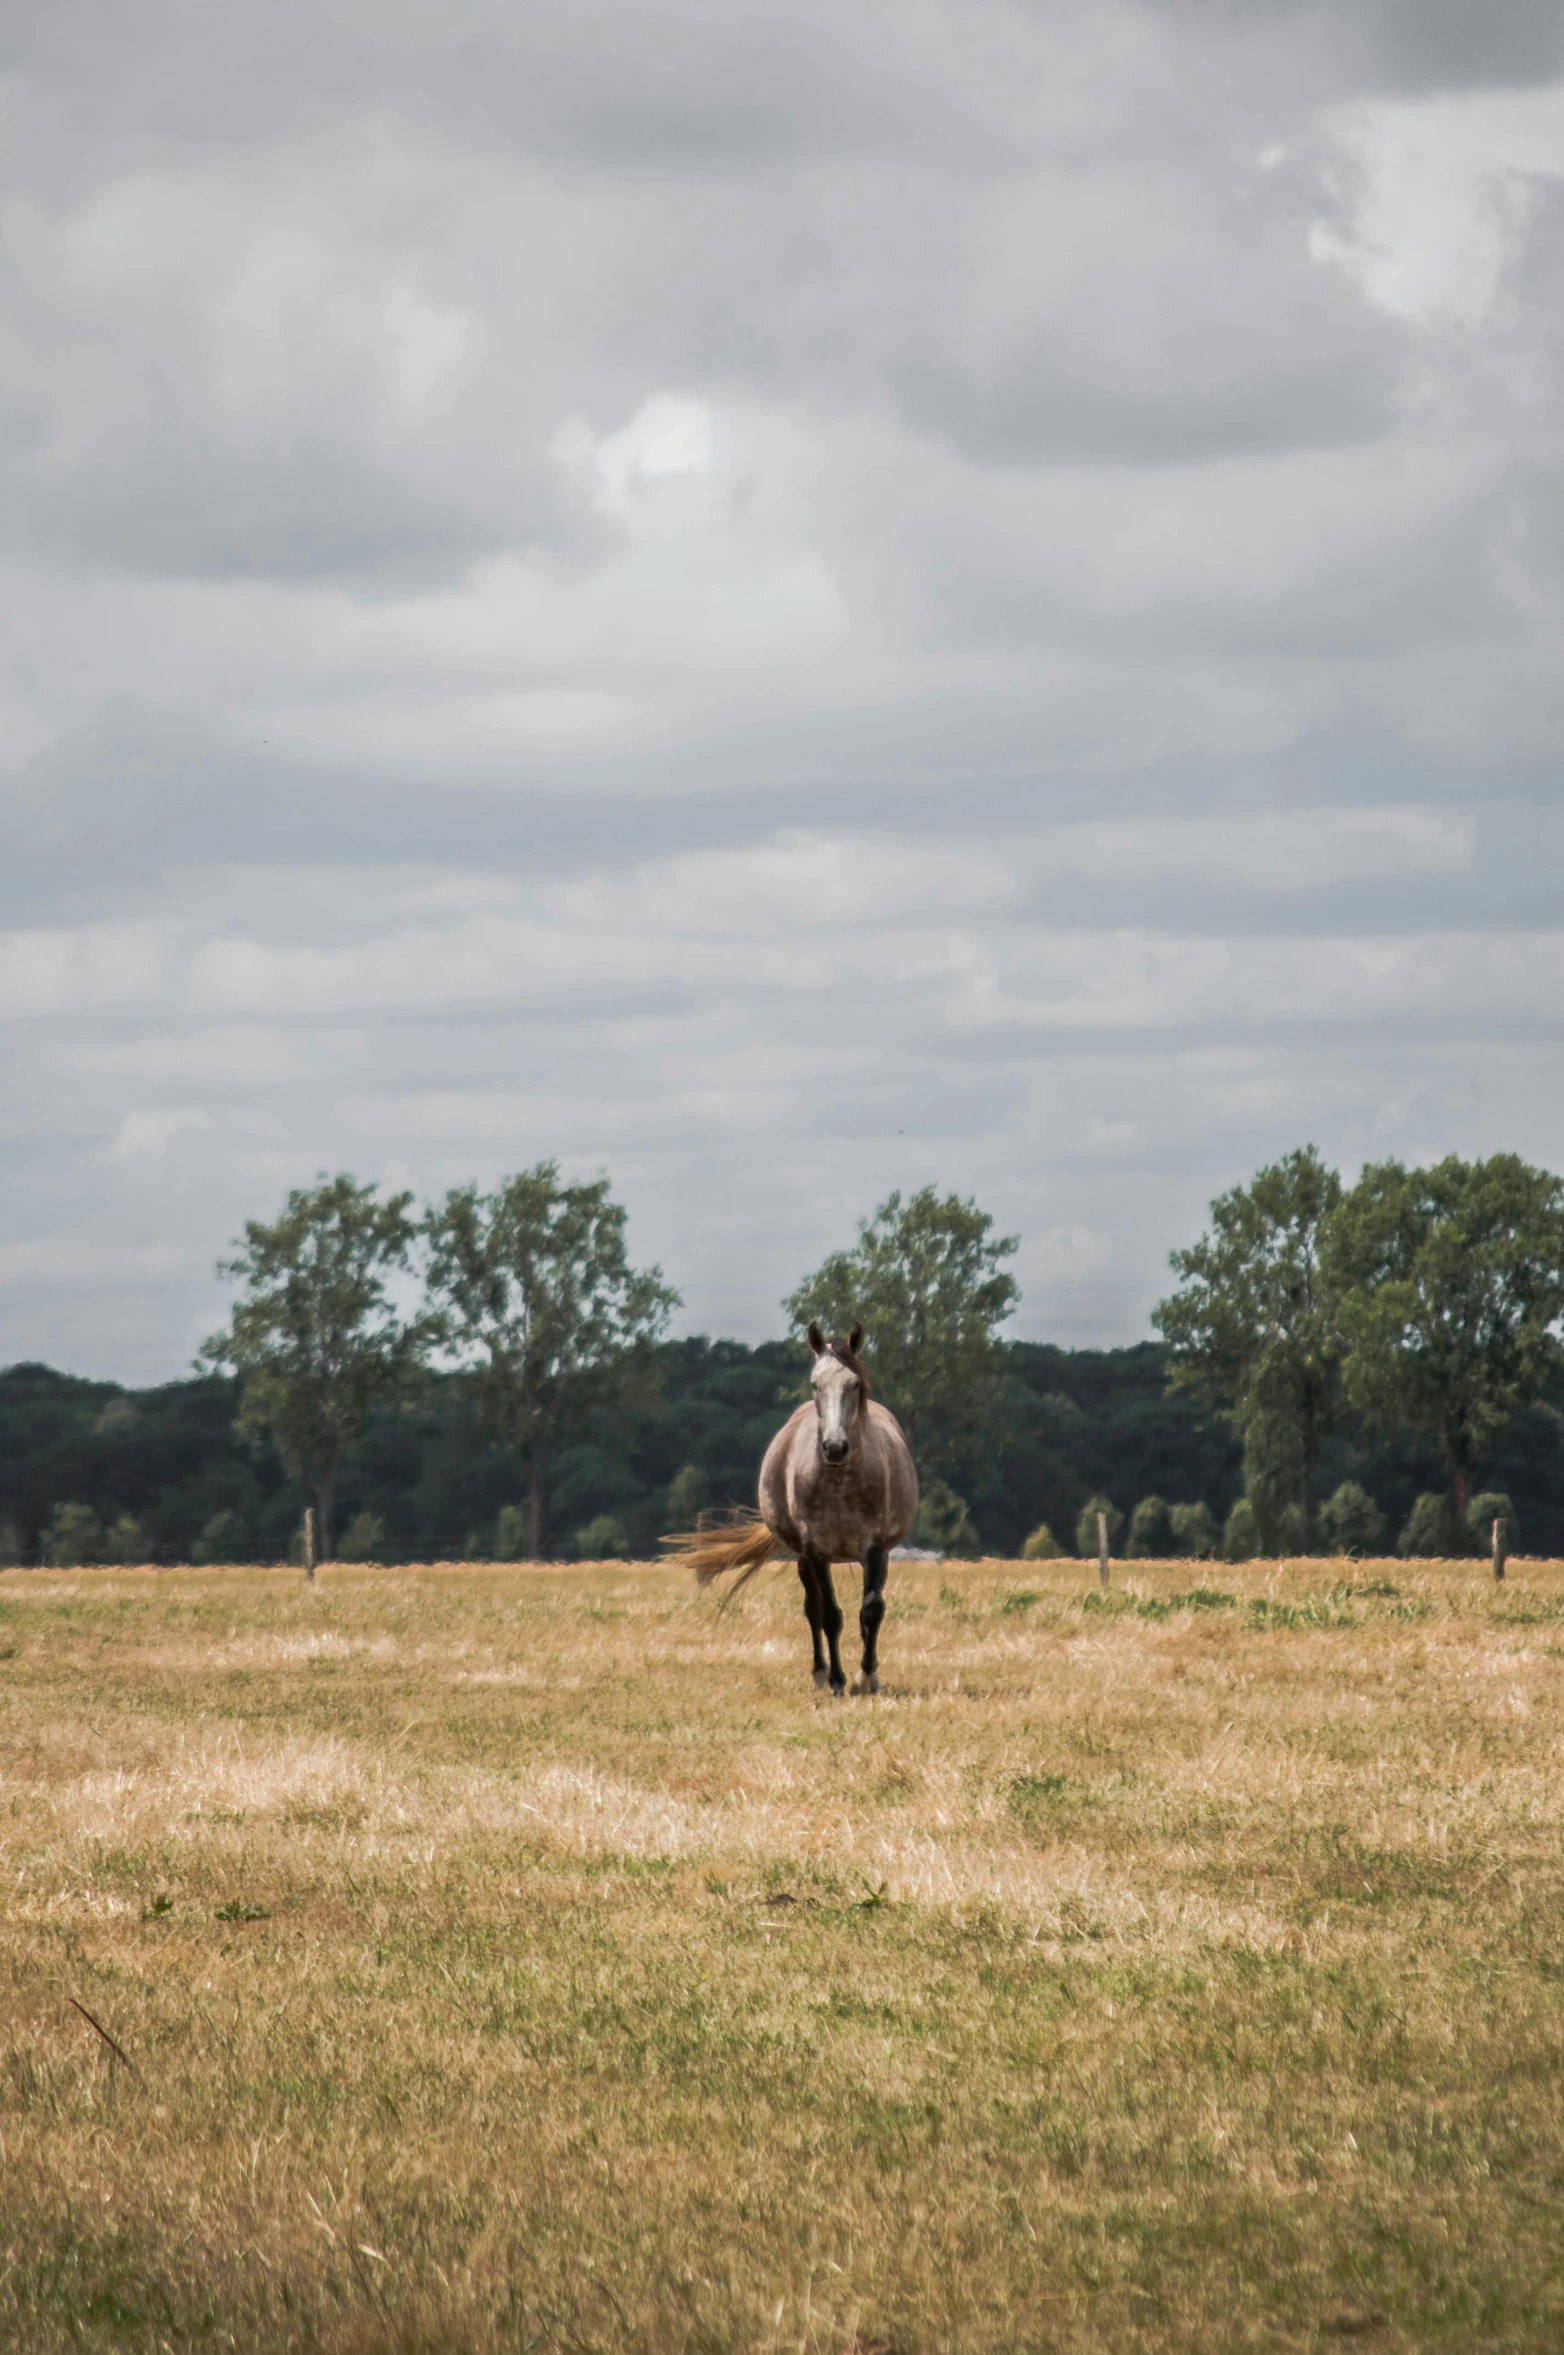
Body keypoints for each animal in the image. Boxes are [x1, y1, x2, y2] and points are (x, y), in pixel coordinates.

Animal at [668, 1328, 918, 1695]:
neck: (840, 1483)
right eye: (815, 1384)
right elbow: (829, 1615)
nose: (834, 1447)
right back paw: (820, 1674)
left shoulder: (876, 1549)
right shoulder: (815, 1551)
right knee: (813, 1610)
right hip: (803, 1558)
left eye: (854, 1383)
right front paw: (838, 1680)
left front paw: (867, 1677)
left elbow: (872, 1609)